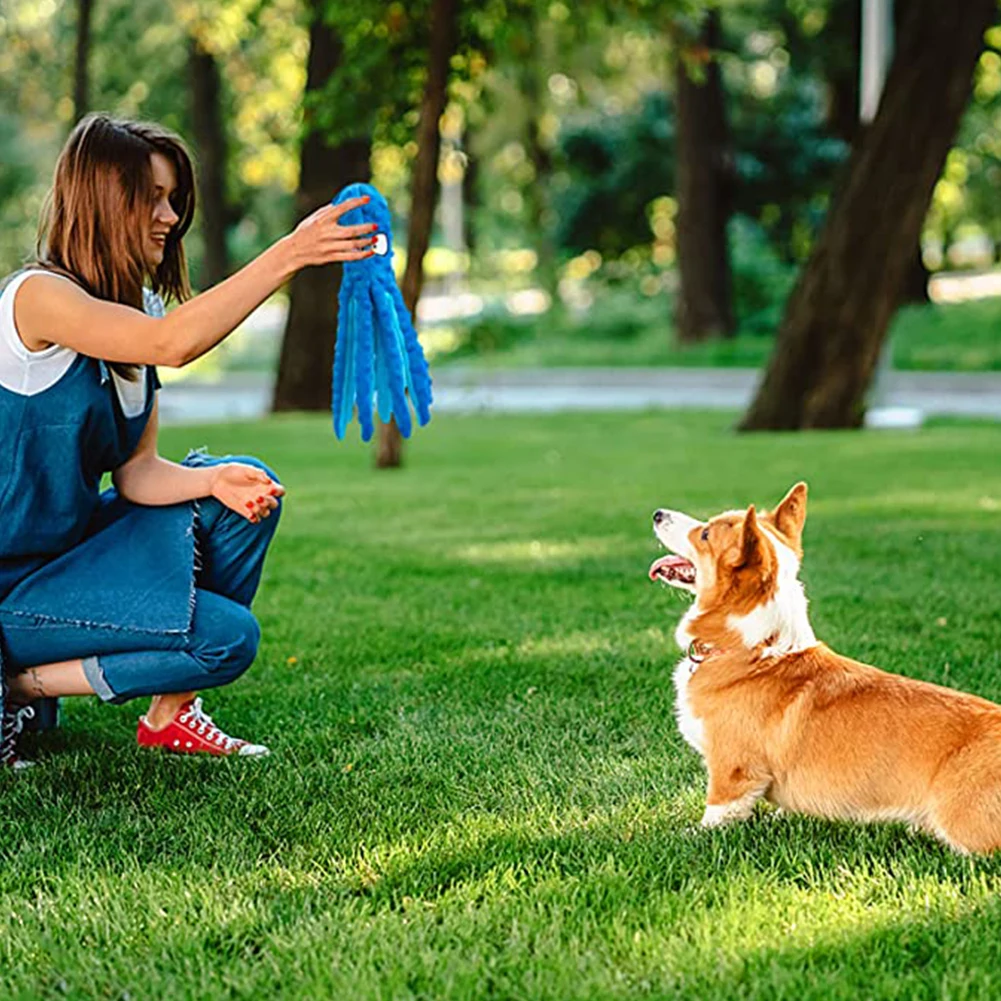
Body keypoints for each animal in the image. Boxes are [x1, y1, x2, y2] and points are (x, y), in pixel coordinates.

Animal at [652, 482, 1001, 852]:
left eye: (705, 534)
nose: (657, 513)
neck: (751, 649)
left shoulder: (732, 770)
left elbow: (717, 812)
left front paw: (688, 835)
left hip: (960, 821)